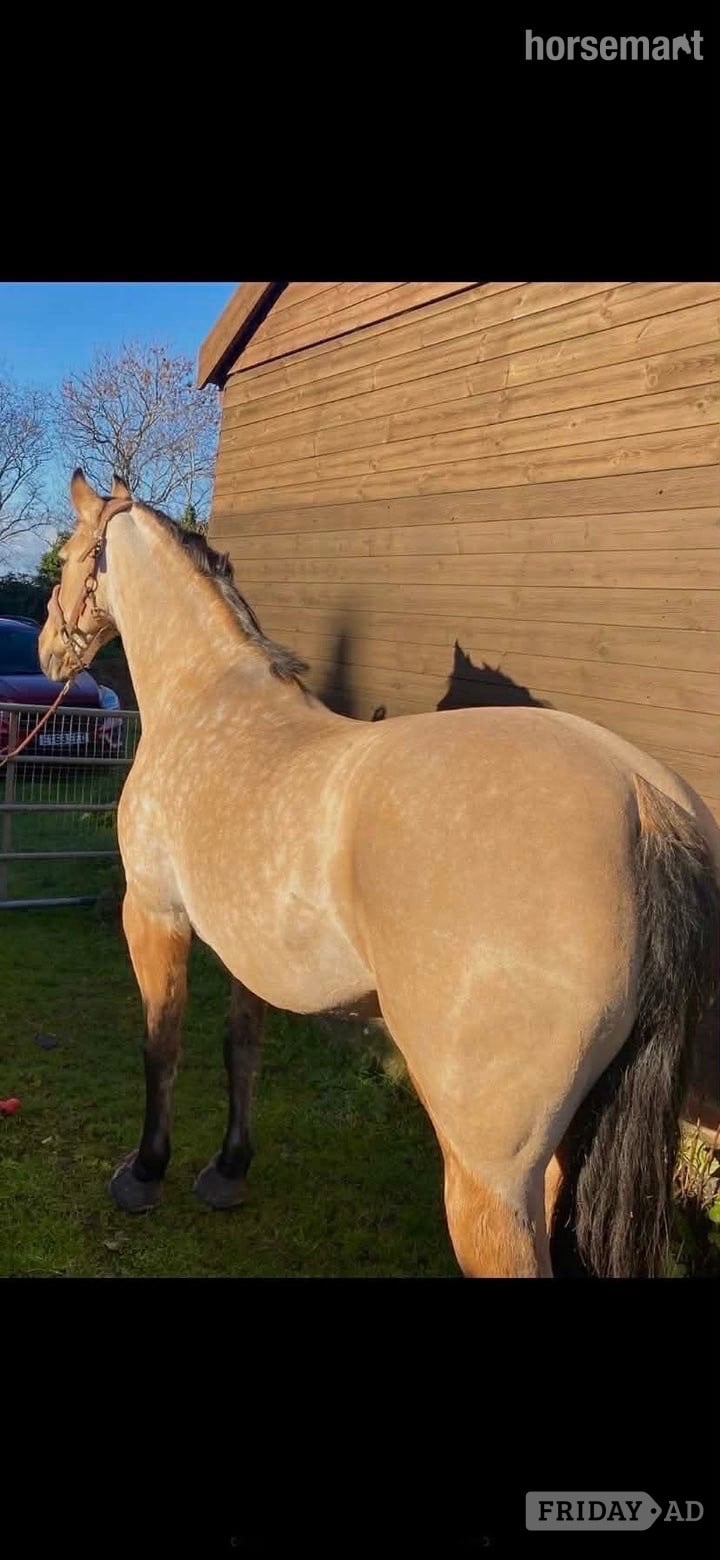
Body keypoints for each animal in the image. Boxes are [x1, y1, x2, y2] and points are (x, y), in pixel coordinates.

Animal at [38, 468, 720, 1279]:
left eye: (71, 556)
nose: (47, 652)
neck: (207, 701)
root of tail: (644, 802)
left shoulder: (153, 913)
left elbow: (161, 1043)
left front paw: (144, 1173)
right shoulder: (245, 946)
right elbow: (242, 1049)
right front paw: (228, 1171)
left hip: (488, 1179)